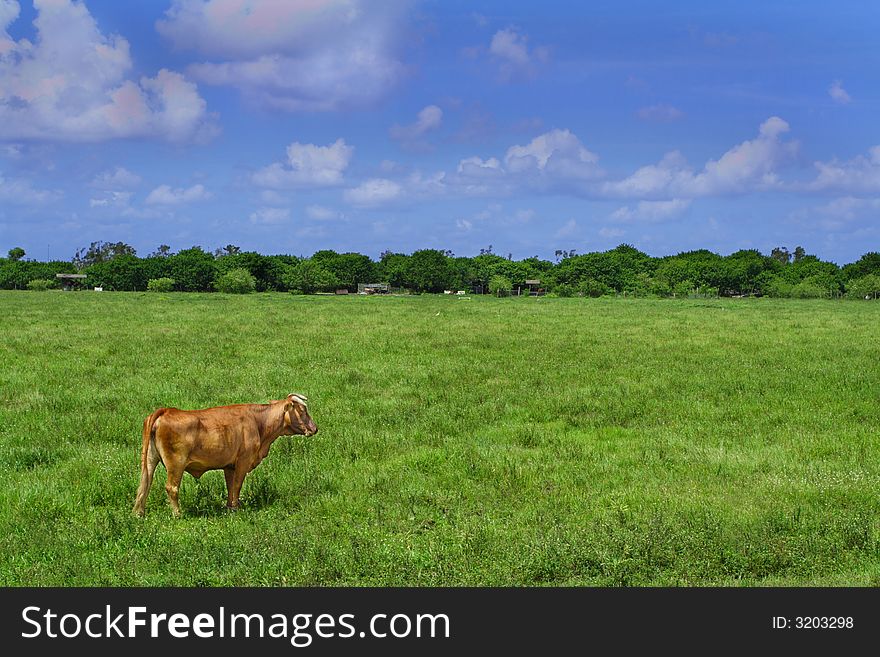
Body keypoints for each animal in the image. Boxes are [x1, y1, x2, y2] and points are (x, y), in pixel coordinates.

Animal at [132, 390, 318, 516]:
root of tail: (166, 410)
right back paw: (178, 514)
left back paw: (139, 513)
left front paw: (230, 507)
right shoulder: (243, 461)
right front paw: (236, 508)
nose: (314, 429)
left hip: (149, 459)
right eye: (302, 411)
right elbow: (237, 485)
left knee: (145, 484)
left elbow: (230, 486)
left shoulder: (229, 466)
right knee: (171, 488)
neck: (258, 422)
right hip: (175, 464)